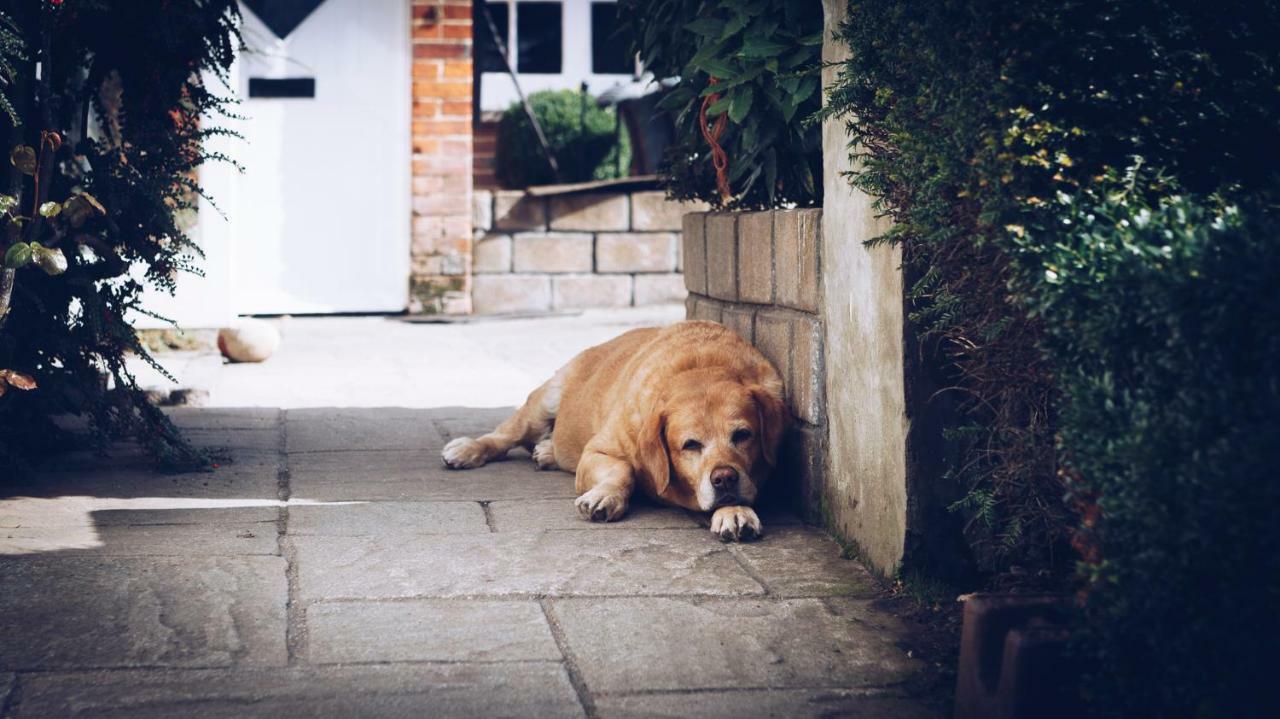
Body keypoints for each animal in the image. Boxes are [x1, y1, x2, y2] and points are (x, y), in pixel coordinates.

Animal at [442, 318, 788, 537]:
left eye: (743, 436)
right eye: (690, 445)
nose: (724, 478)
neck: (699, 366)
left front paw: (735, 511)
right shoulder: (597, 452)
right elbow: (625, 469)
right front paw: (605, 497)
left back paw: (547, 452)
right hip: (543, 402)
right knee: (505, 434)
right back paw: (468, 449)